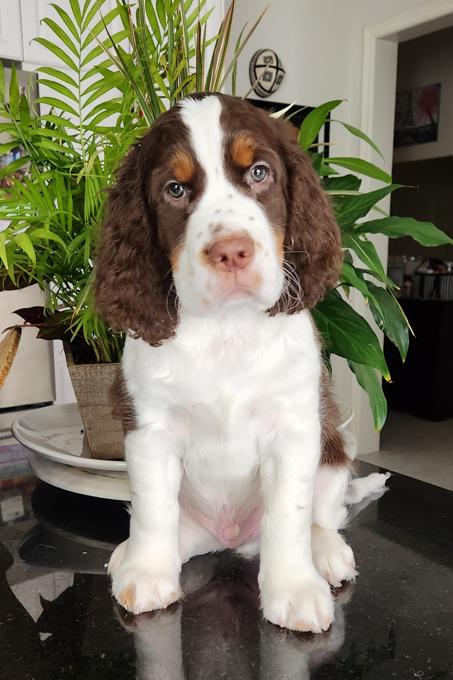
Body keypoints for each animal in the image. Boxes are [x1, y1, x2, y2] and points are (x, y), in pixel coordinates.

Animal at [94, 93, 384, 636]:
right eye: (175, 189)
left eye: (260, 173)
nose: (230, 251)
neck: (225, 331)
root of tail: (230, 538)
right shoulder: (149, 429)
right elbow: (152, 508)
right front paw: (147, 573)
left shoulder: (294, 426)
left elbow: (289, 514)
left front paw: (295, 588)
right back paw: (131, 555)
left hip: (333, 448)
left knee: (323, 515)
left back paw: (327, 553)